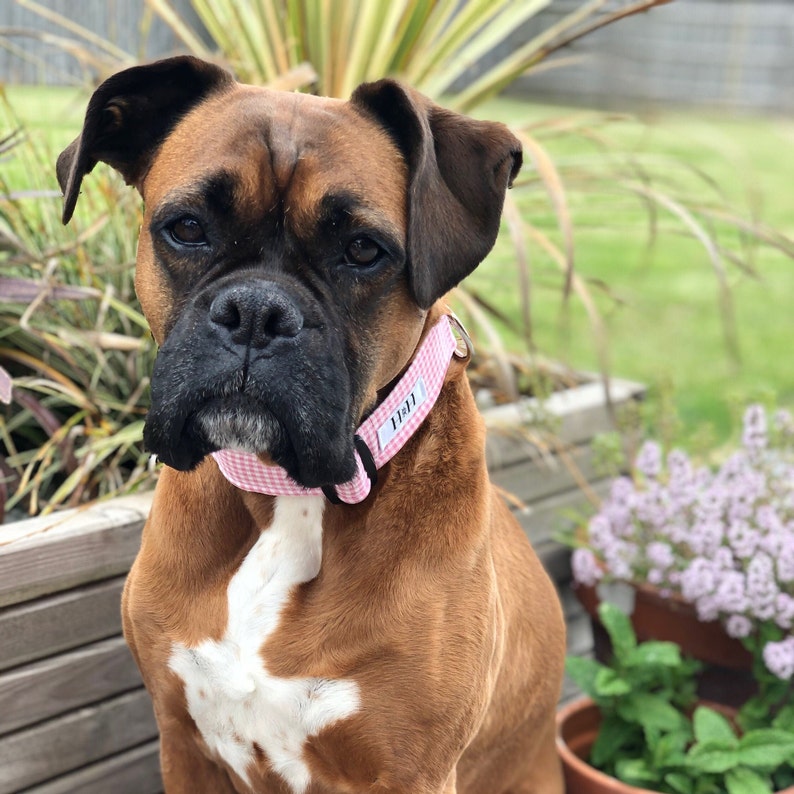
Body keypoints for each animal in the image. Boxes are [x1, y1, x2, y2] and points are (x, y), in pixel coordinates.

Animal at [57, 57, 564, 792]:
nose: (256, 312)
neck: (287, 503)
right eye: (187, 227)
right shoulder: (183, 743)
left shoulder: (411, 773)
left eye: (363, 249)